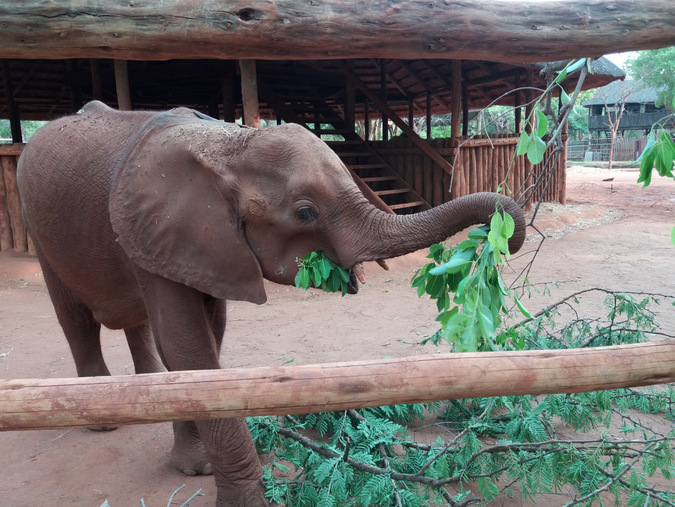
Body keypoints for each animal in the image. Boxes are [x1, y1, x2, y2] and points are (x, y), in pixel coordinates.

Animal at [14, 101, 524, 506]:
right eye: (305, 212)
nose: (499, 233)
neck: (228, 143)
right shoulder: (160, 227)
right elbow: (189, 348)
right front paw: (237, 494)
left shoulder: (190, 243)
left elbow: (208, 338)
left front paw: (195, 467)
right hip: (40, 227)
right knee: (75, 318)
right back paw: (101, 420)